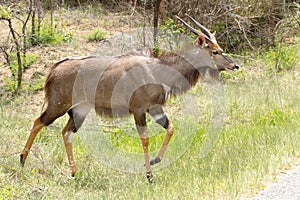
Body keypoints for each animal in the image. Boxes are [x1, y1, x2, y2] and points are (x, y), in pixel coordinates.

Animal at [19, 14, 239, 182]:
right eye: (214, 51)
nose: (234, 65)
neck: (158, 69)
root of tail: (54, 70)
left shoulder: (155, 108)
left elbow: (170, 128)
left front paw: (155, 161)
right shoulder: (139, 110)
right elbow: (145, 139)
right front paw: (149, 176)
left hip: (79, 110)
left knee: (66, 133)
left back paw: (74, 172)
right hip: (58, 106)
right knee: (38, 122)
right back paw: (22, 159)